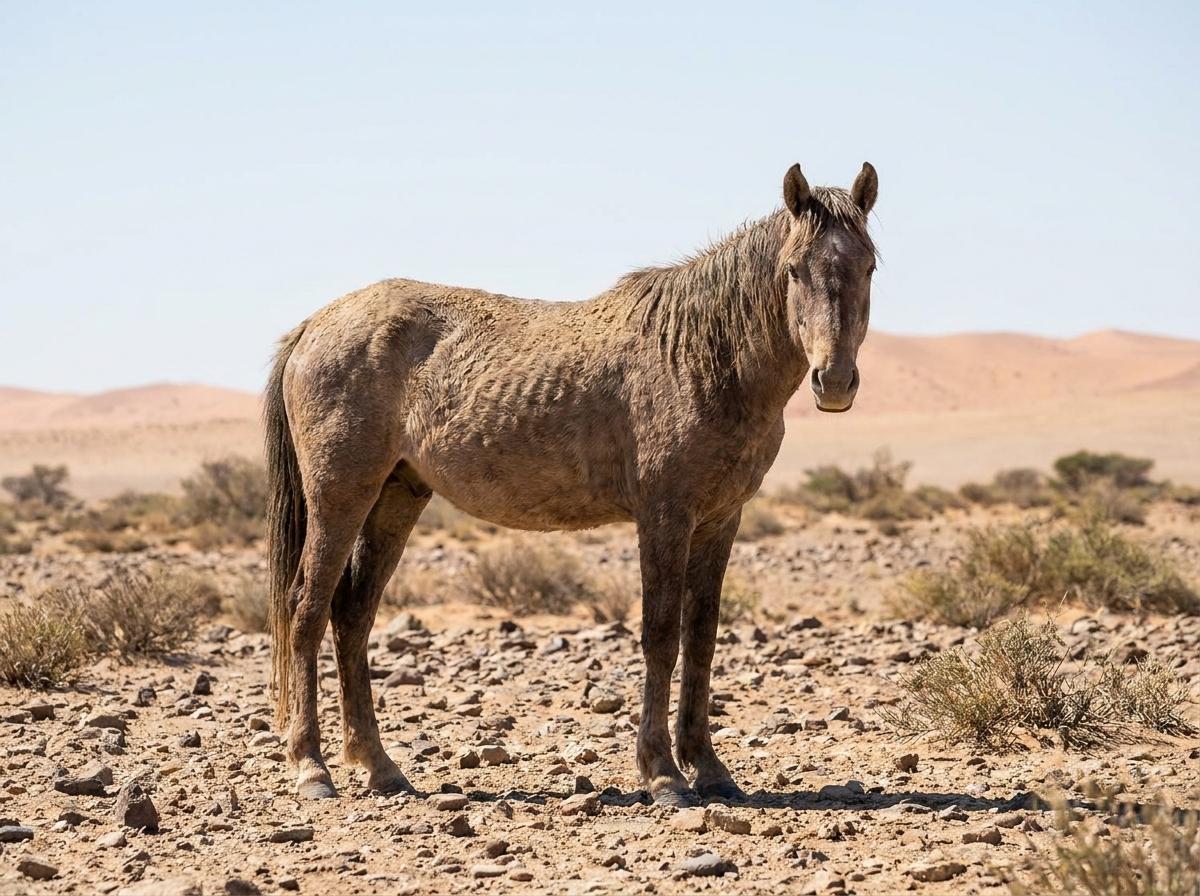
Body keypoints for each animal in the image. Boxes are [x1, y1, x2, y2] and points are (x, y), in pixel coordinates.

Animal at [265, 161, 879, 805]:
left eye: (868, 266)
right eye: (794, 269)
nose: (835, 381)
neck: (704, 354)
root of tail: (314, 325)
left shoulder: (719, 519)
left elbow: (702, 636)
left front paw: (709, 769)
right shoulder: (665, 514)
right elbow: (661, 634)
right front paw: (663, 774)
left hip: (396, 497)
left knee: (353, 614)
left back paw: (380, 767)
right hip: (340, 496)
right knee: (306, 608)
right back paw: (312, 767)